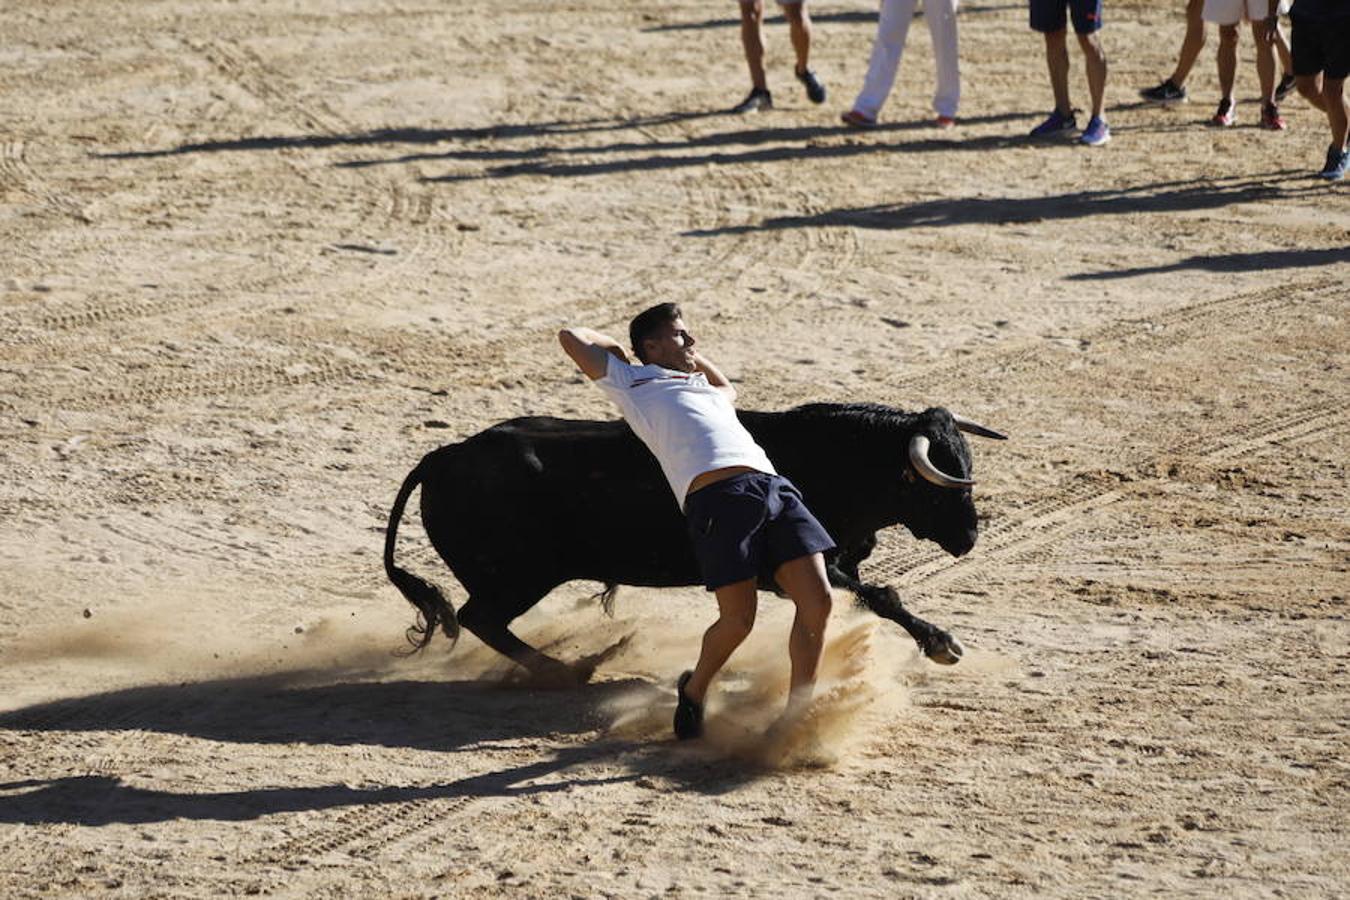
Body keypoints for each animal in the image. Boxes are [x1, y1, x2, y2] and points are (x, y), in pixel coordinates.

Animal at [380, 402, 1004, 682]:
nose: (969, 538)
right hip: (520, 575)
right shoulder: (793, 566)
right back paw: (574, 669)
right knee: (481, 618)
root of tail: (445, 456)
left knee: (481, 620)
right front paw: (942, 642)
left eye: (967, 462)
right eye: (930, 485)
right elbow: (883, 594)